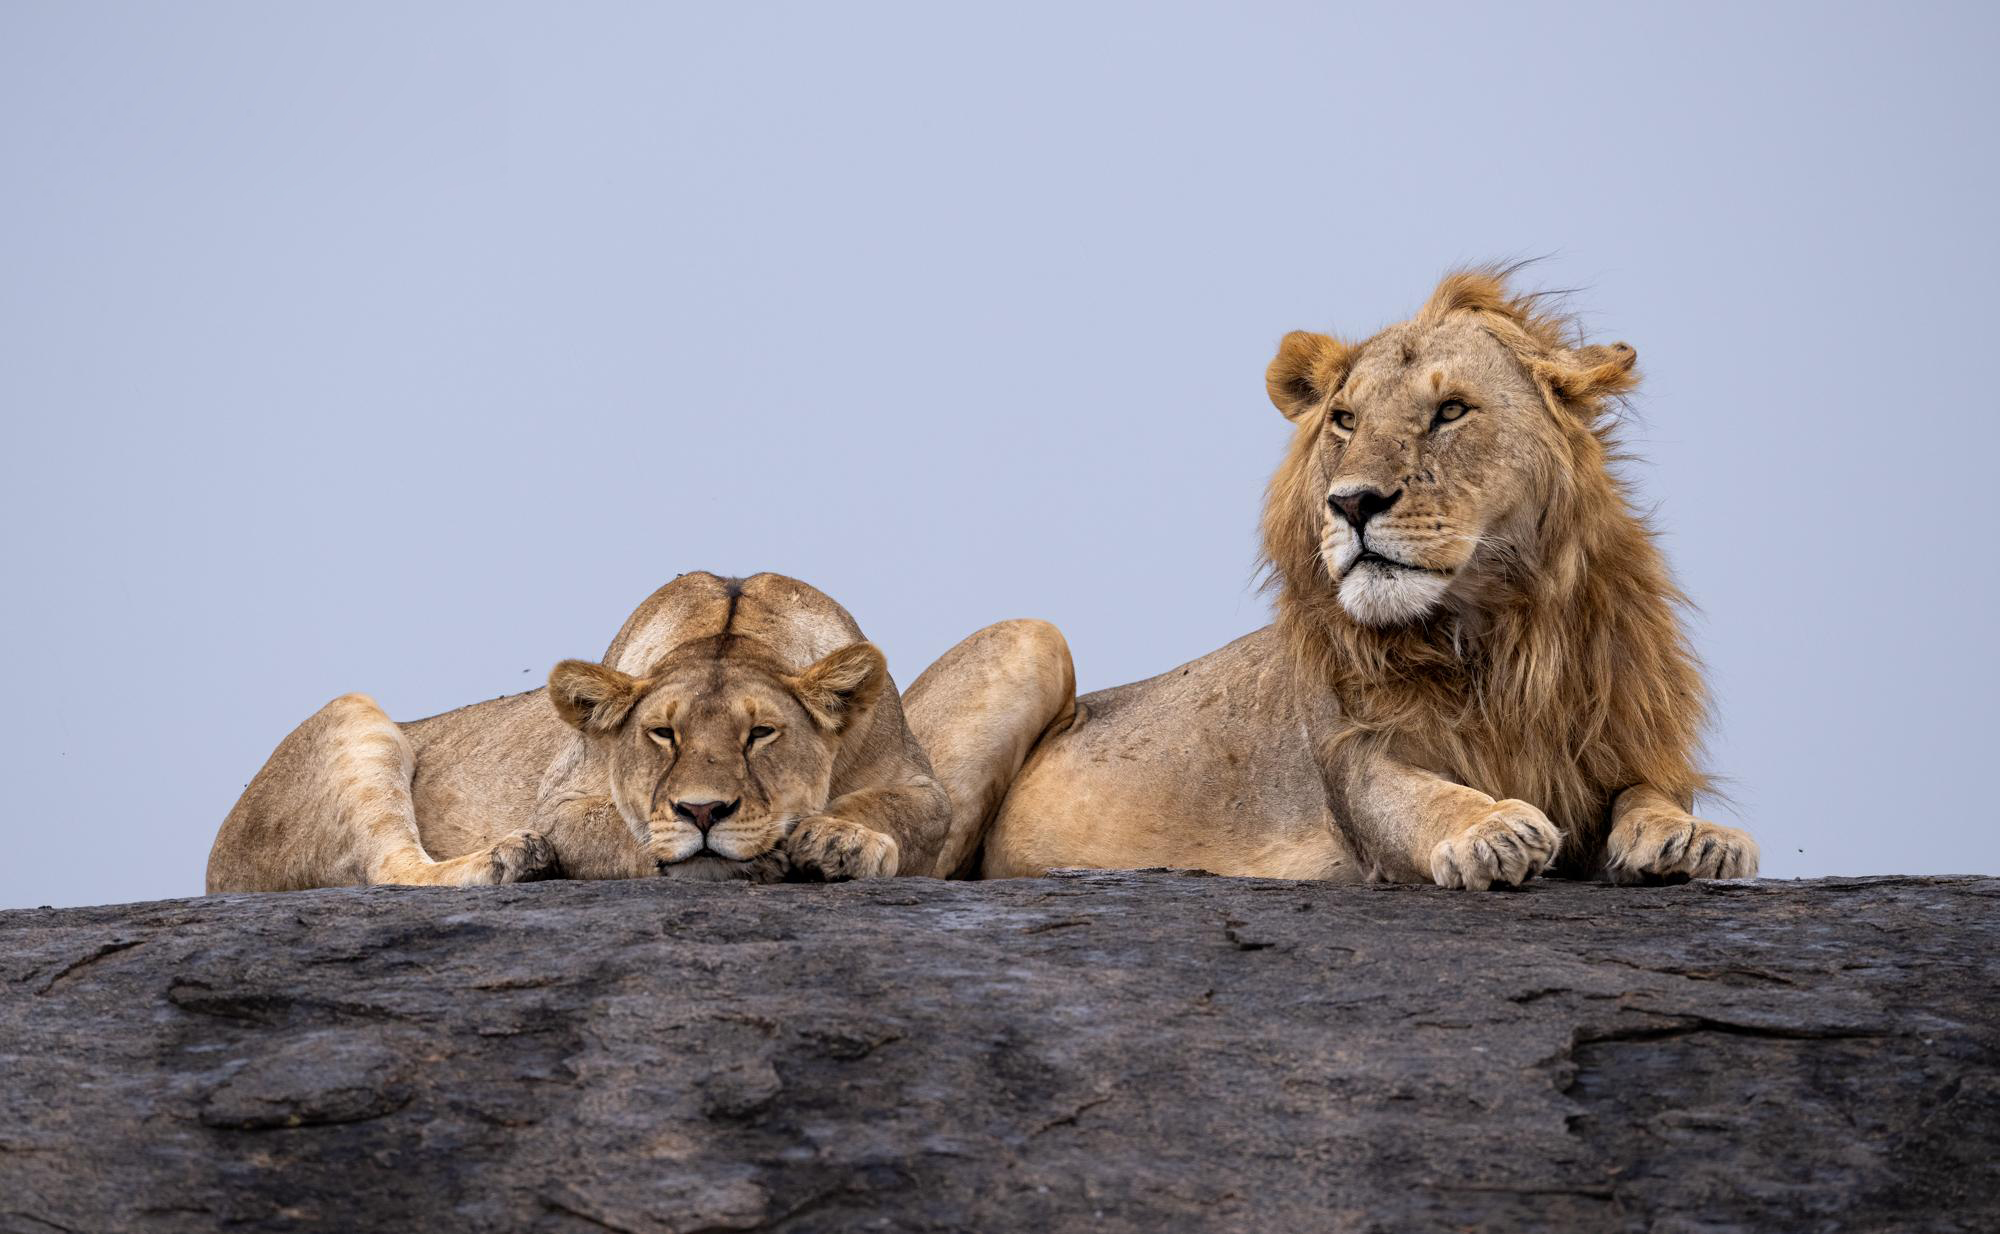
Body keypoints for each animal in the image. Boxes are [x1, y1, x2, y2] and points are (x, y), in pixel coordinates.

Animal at [206, 573, 1074, 891]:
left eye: (762, 734)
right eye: (661, 735)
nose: (703, 813)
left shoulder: (922, 786)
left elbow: (894, 813)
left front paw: (837, 841)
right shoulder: (566, 796)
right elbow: (610, 832)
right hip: (350, 715)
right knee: (390, 868)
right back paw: (511, 859)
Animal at [979, 268, 1759, 888]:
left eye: (1451, 411)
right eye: (1346, 420)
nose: (1352, 503)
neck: (1492, 636)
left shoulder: (1623, 740)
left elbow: (1650, 792)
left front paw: (1695, 837)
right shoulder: (1353, 764)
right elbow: (1421, 799)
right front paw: (1491, 829)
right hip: (1030, 638)